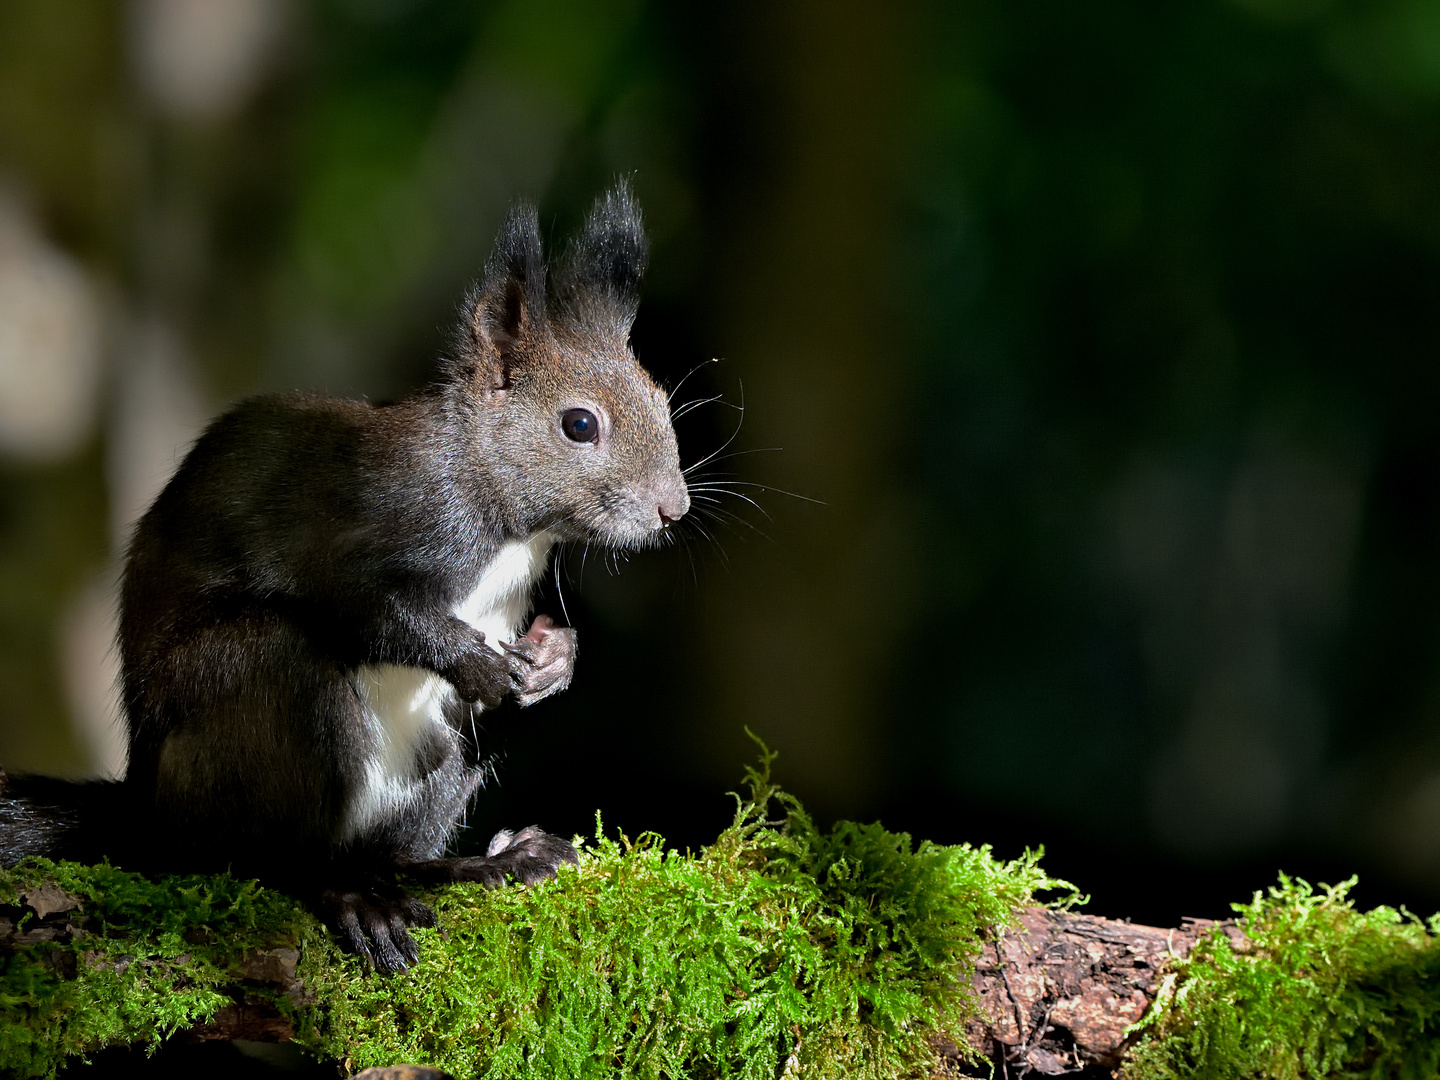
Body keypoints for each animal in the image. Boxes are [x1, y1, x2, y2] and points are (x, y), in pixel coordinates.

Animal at [0, 184, 691, 973]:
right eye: (579, 425)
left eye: (660, 398)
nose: (674, 507)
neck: (507, 523)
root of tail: (145, 810)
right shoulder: (362, 523)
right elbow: (364, 609)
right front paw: (474, 662)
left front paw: (553, 661)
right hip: (254, 697)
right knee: (265, 850)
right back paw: (345, 893)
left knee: (402, 842)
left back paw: (484, 863)